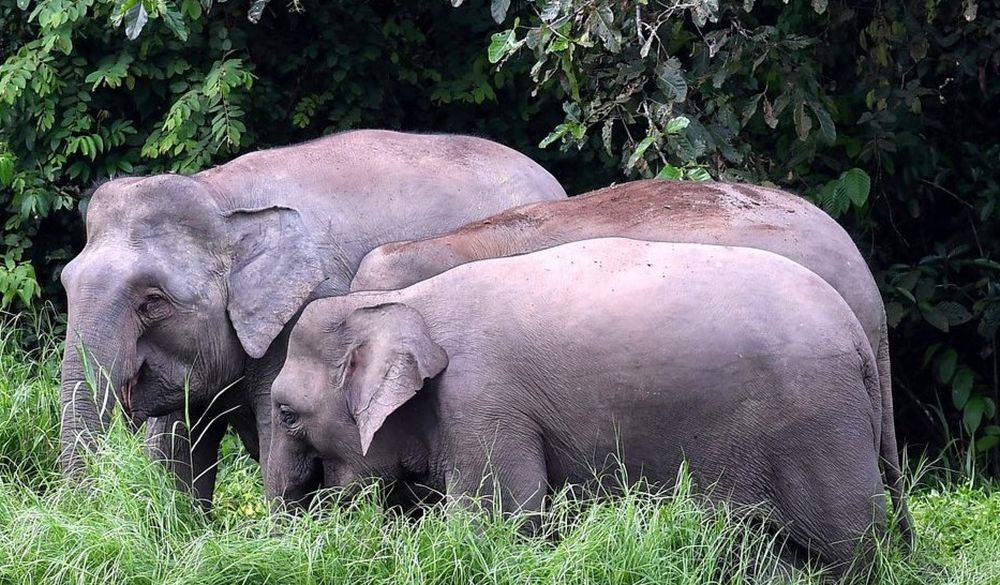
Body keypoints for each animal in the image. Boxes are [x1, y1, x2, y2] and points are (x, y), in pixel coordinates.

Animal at [57, 129, 566, 507]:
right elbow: (175, 449)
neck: (219, 195)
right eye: (65, 282)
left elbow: (273, 440)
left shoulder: (301, 316)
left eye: (152, 301)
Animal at [267, 237, 900, 578]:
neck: (406, 302)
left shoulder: (482, 400)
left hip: (819, 427)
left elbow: (496, 524)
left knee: (852, 546)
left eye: (287, 414)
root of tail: (860, 335)